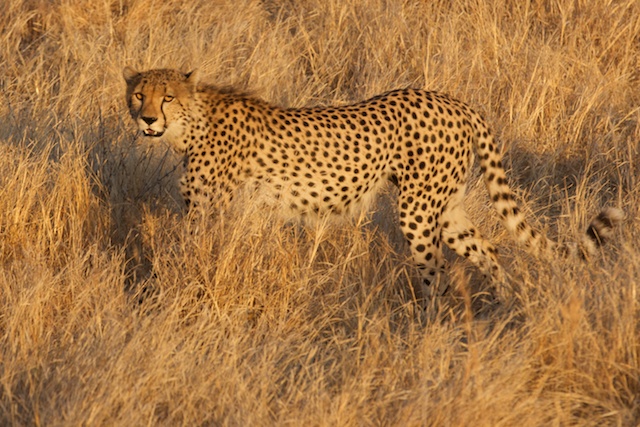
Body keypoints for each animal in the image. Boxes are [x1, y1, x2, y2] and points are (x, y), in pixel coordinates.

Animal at [122, 67, 624, 300]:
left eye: (167, 97)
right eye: (138, 94)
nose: (147, 119)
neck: (193, 123)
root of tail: (456, 102)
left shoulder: (208, 214)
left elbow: (189, 259)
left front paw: (173, 294)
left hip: (418, 211)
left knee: (436, 270)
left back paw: (430, 331)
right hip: (447, 208)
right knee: (489, 249)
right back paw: (502, 305)